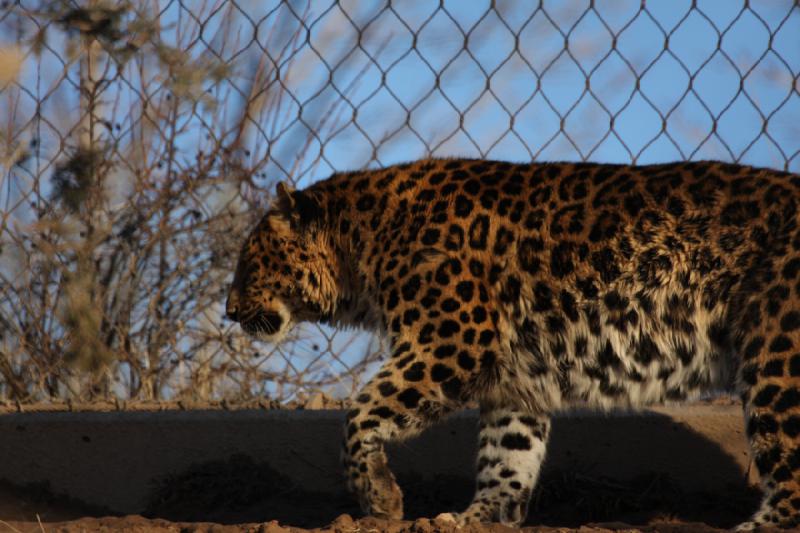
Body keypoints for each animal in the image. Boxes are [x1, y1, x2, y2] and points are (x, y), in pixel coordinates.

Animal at [227, 158, 800, 528]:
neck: (362, 246)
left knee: (789, 476)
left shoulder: (450, 341)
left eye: (249, 262)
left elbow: (358, 415)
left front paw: (381, 501)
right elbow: (507, 454)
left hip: (778, 355)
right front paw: (477, 518)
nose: (228, 311)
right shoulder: (515, 379)